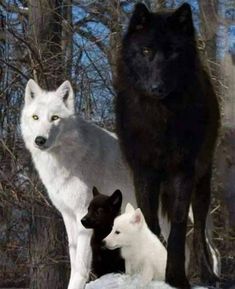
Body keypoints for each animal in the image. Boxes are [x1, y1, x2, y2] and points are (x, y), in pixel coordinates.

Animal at [21, 79, 219, 288]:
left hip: (194, 214)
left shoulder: (83, 216)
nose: (40, 140)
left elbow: (81, 266)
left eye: (55, 118)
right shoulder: (68, 215)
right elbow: (73, 259)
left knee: (212, 249)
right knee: (183, 250)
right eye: (35, 117)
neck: (66, 158)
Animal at [115, 2, 220, 288]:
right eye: (146, 51)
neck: (159, 117)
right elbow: (149, 222)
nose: (157, 87)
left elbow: (178, 230)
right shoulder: (144, 172)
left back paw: (206, 274)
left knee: (198, 233)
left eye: (173, 53)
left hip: (202, 185)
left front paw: (176, 277)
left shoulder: (182, 173)